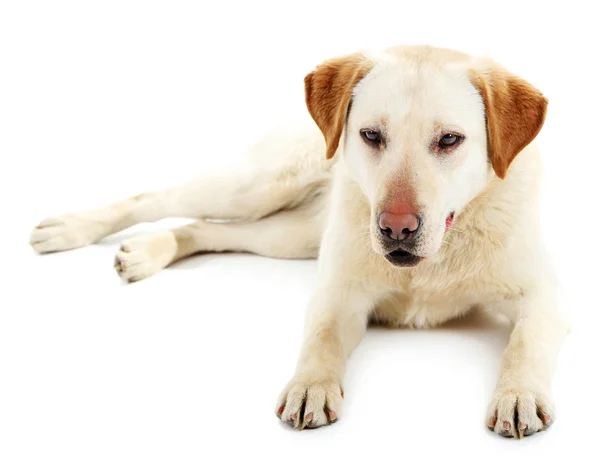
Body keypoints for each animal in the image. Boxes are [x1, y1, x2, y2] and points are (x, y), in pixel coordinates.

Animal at [28, 45, 568, 436]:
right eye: (371, 135)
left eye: (450, 140)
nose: (395, 226)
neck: (432, 263)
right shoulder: (339, 293)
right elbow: (321, 337)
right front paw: (311, 385)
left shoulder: (544, 296)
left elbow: (524, 343)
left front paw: (518, 395)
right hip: (254, 189)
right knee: (156, 198)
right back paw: (72, 229)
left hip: (289, 235)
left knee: (208, 230)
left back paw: (147, 251)